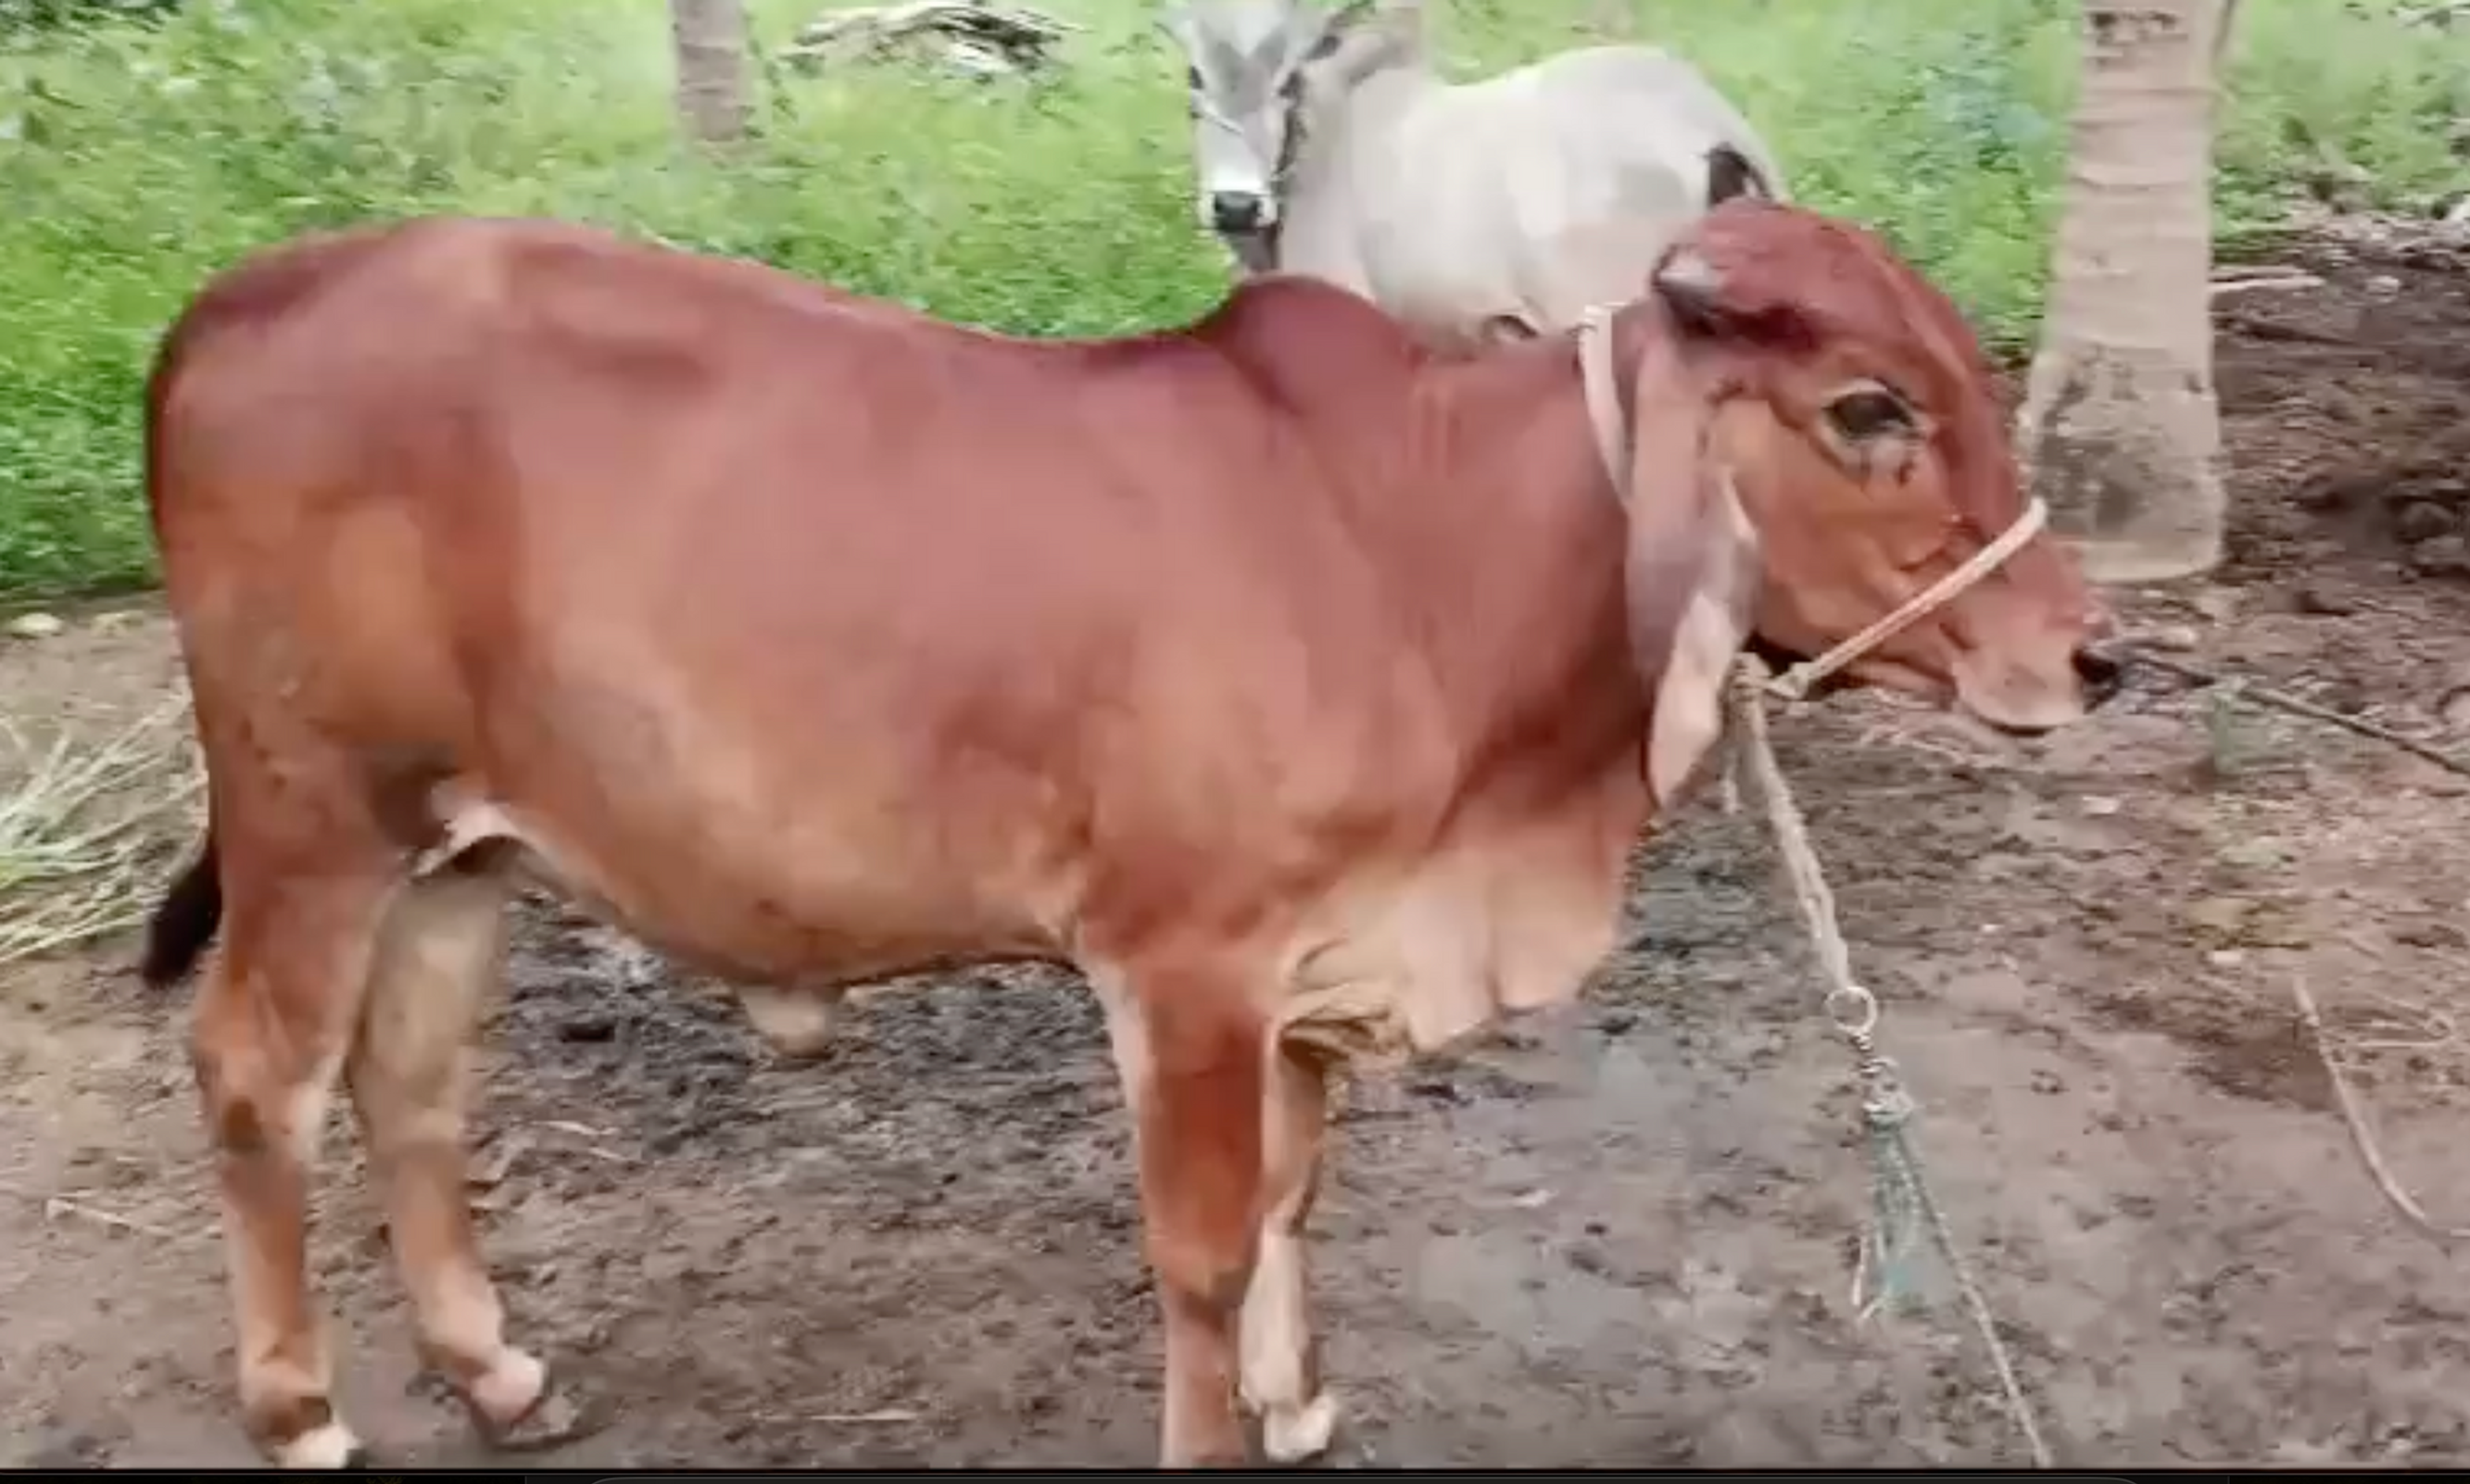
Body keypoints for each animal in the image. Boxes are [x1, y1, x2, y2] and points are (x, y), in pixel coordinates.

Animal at [135, 197, 2115, 1469]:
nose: (2090, 653)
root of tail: (228, 300)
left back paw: (493, 1372)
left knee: (410, 1083)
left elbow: (1299, 1193)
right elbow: (1206, 1248)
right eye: (1869, 408)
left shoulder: (1311, 961)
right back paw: (300, 1410)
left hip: (457, 846)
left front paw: (1297, 1399)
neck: (1434, 555)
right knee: (256, 1074)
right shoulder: (1187, 966)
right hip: (312, 818)